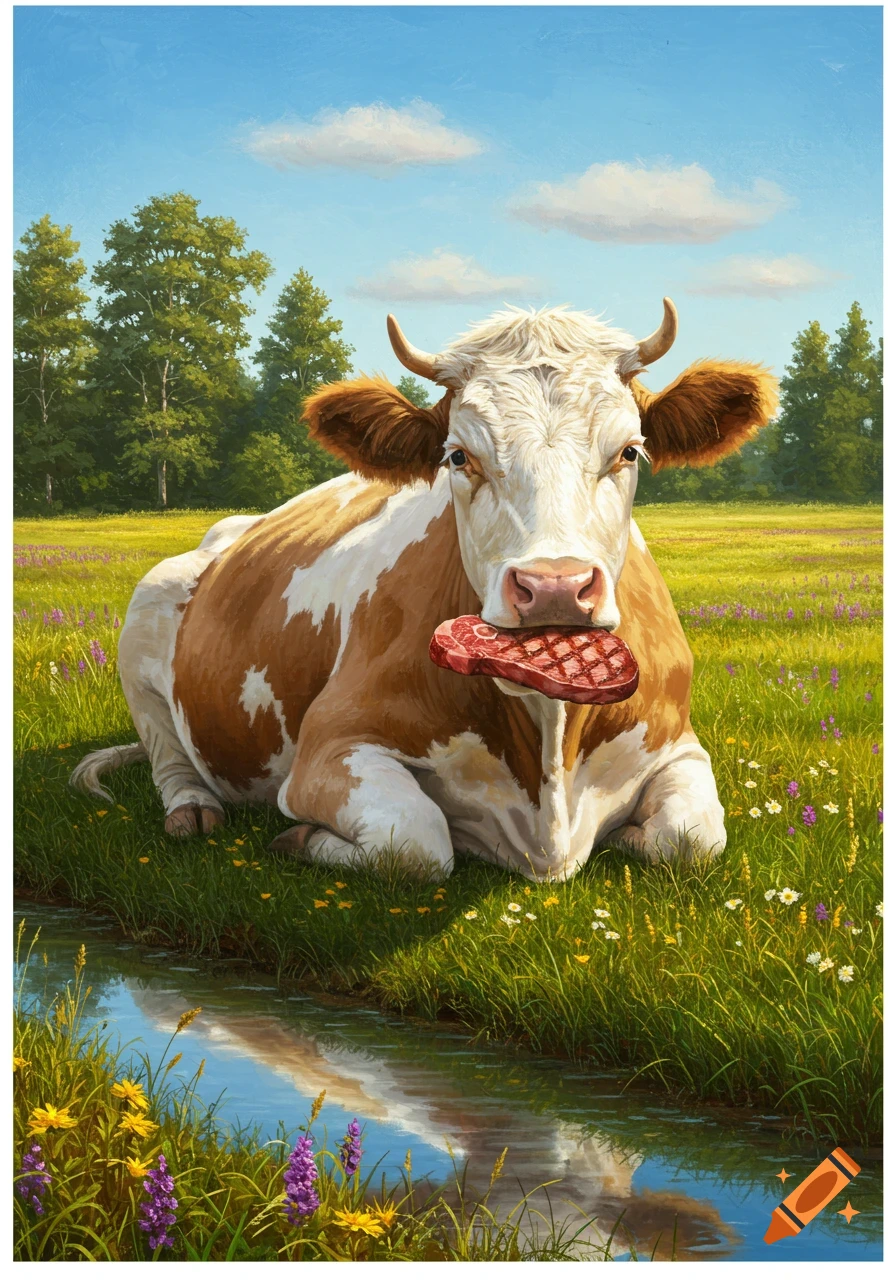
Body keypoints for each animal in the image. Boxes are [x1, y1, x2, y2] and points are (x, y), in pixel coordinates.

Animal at [72, 300, 777, 882]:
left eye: (629, 451)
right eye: (459, 456)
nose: (554, 587)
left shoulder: (678, 742)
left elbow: (691, 838)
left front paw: (629, 837)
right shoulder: (331, 749)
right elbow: (416, 840)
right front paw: (299, 840)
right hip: (146, 610)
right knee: (169, 755)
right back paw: (192, 811)